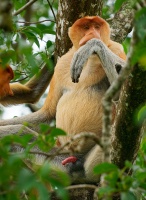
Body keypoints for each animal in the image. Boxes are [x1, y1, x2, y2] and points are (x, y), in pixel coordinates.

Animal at [0, 16, 125, 184]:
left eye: (97, 27)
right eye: (86, 27)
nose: (92, 33)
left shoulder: (117, 48)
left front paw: (92, 45)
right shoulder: (61, 65)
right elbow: (48, 114)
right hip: (57, 159)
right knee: (18, 133)